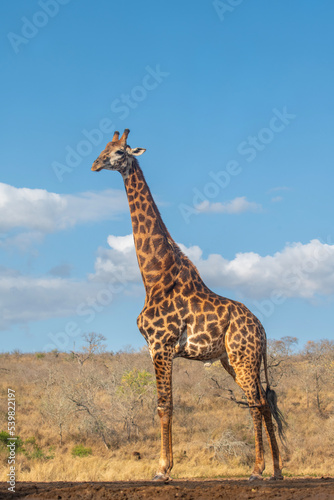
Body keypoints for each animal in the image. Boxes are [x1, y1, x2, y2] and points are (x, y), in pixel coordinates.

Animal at [92, 129, 286, 480]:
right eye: (103, 148)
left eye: (119, 152)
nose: (95, 164)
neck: (155, 277)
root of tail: (263, 331)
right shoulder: (155, 347)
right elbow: (164, 405)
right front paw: (164, 466)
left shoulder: (161, 344)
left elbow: (164, 405)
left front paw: (163, 469)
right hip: (233, 360)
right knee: (264, 400)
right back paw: (277, 471)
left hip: (243, 357)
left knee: (254, 402)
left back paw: (257, 469)